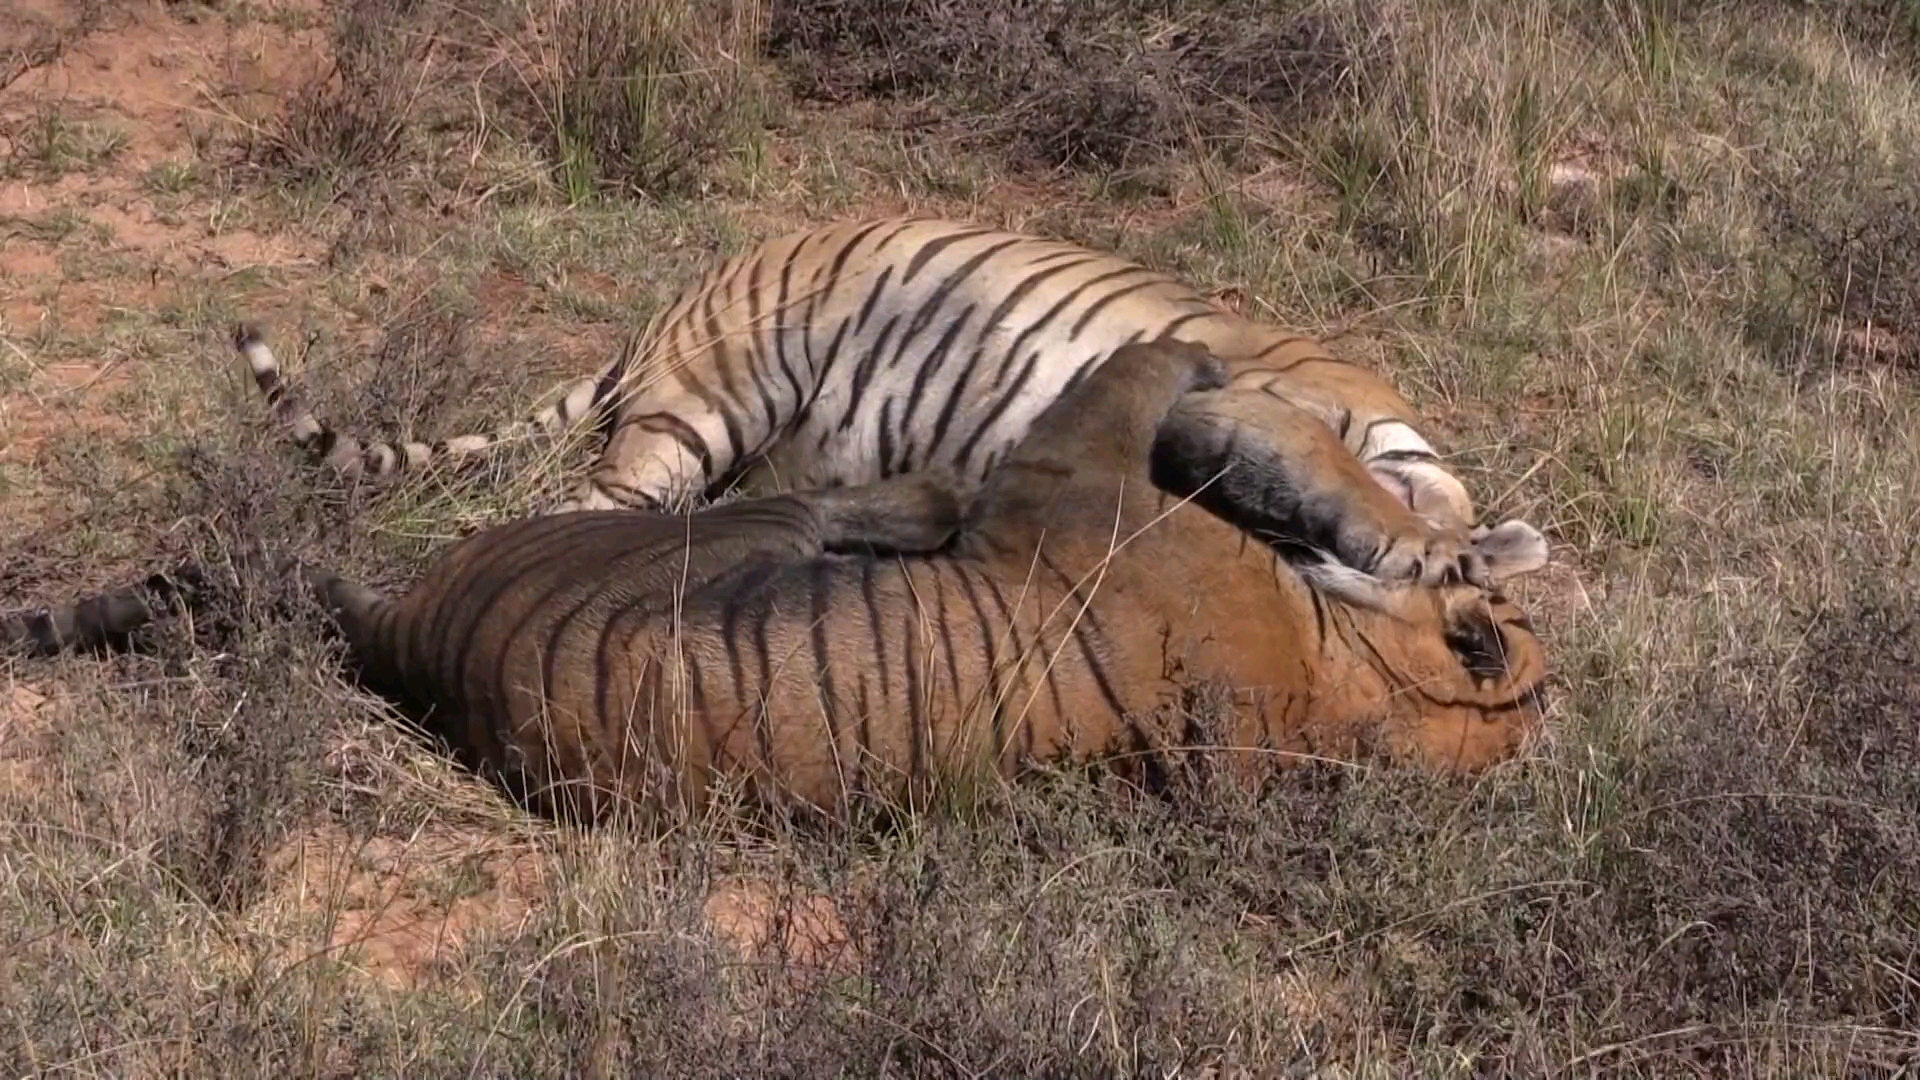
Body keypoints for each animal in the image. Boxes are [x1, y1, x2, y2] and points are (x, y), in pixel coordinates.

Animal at [240, 213, 1551, 588]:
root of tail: (659, 318)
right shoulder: (1254, 408)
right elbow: (1356, 489)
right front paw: (1437, 551)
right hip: (710, 403)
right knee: (578, 511)